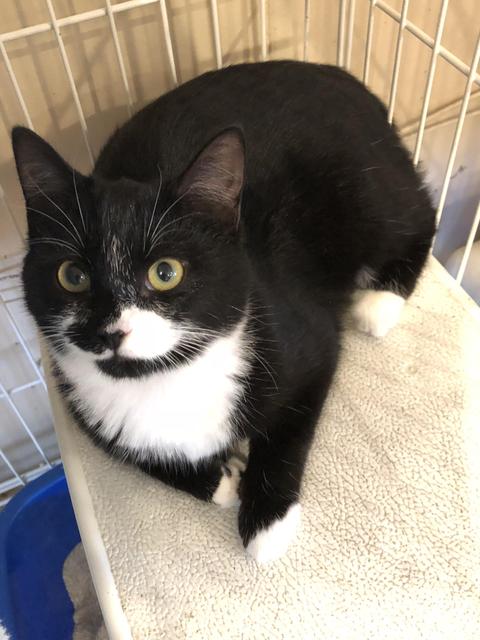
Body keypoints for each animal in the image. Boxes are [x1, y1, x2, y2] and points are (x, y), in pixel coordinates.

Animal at [13, 61, 435, 563]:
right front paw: (222, 481)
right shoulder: (81, 405)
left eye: (166, 272)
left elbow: (290, 428)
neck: (165, 380)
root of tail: (339, 74)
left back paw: (380, 302)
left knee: (417, 213)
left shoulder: (301, 337)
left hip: (363, 185)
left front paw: (266, 522)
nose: (111, 332)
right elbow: (134, 452)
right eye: (72, 275)